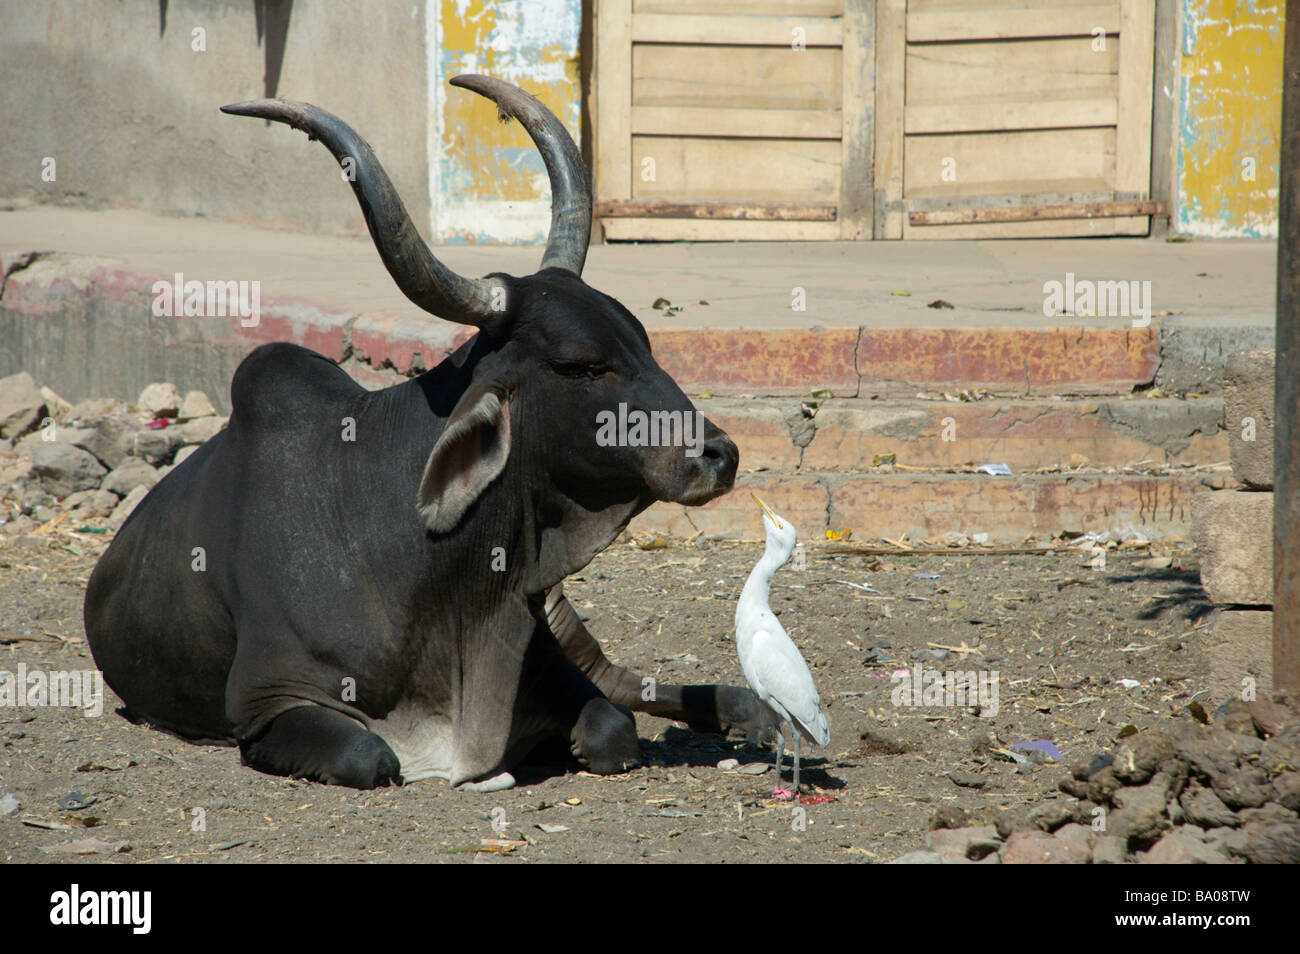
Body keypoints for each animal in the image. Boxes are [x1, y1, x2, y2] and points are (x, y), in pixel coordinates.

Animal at [83, 74, 769, 790]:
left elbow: (613, 726)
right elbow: (370, 756)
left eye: (643, 341)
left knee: (625, 684)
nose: (718, 454)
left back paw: (751, 710)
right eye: (579, 365)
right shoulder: (269, 702)